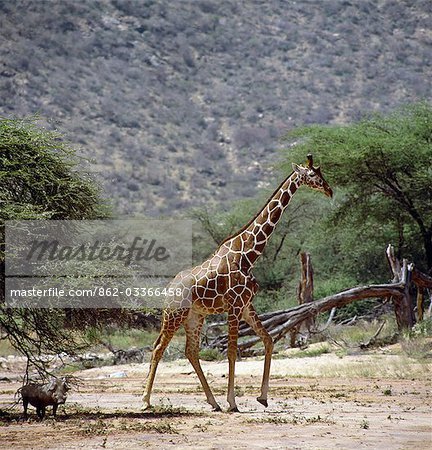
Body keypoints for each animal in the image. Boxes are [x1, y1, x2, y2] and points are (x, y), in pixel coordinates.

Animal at [143, 154, 332, 412]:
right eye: (313, 175)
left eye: (321, 173)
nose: (330, 190)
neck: (248, 256)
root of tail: (168, 289)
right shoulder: (233, 306)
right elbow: (232, 352)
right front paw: (232, 402)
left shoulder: (245, 306)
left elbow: (268, 340)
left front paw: (262, 397)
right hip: (174, 313)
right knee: (158, 347)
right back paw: (146, 400)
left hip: (195, 316)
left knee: (191, 351)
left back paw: (213, 402)